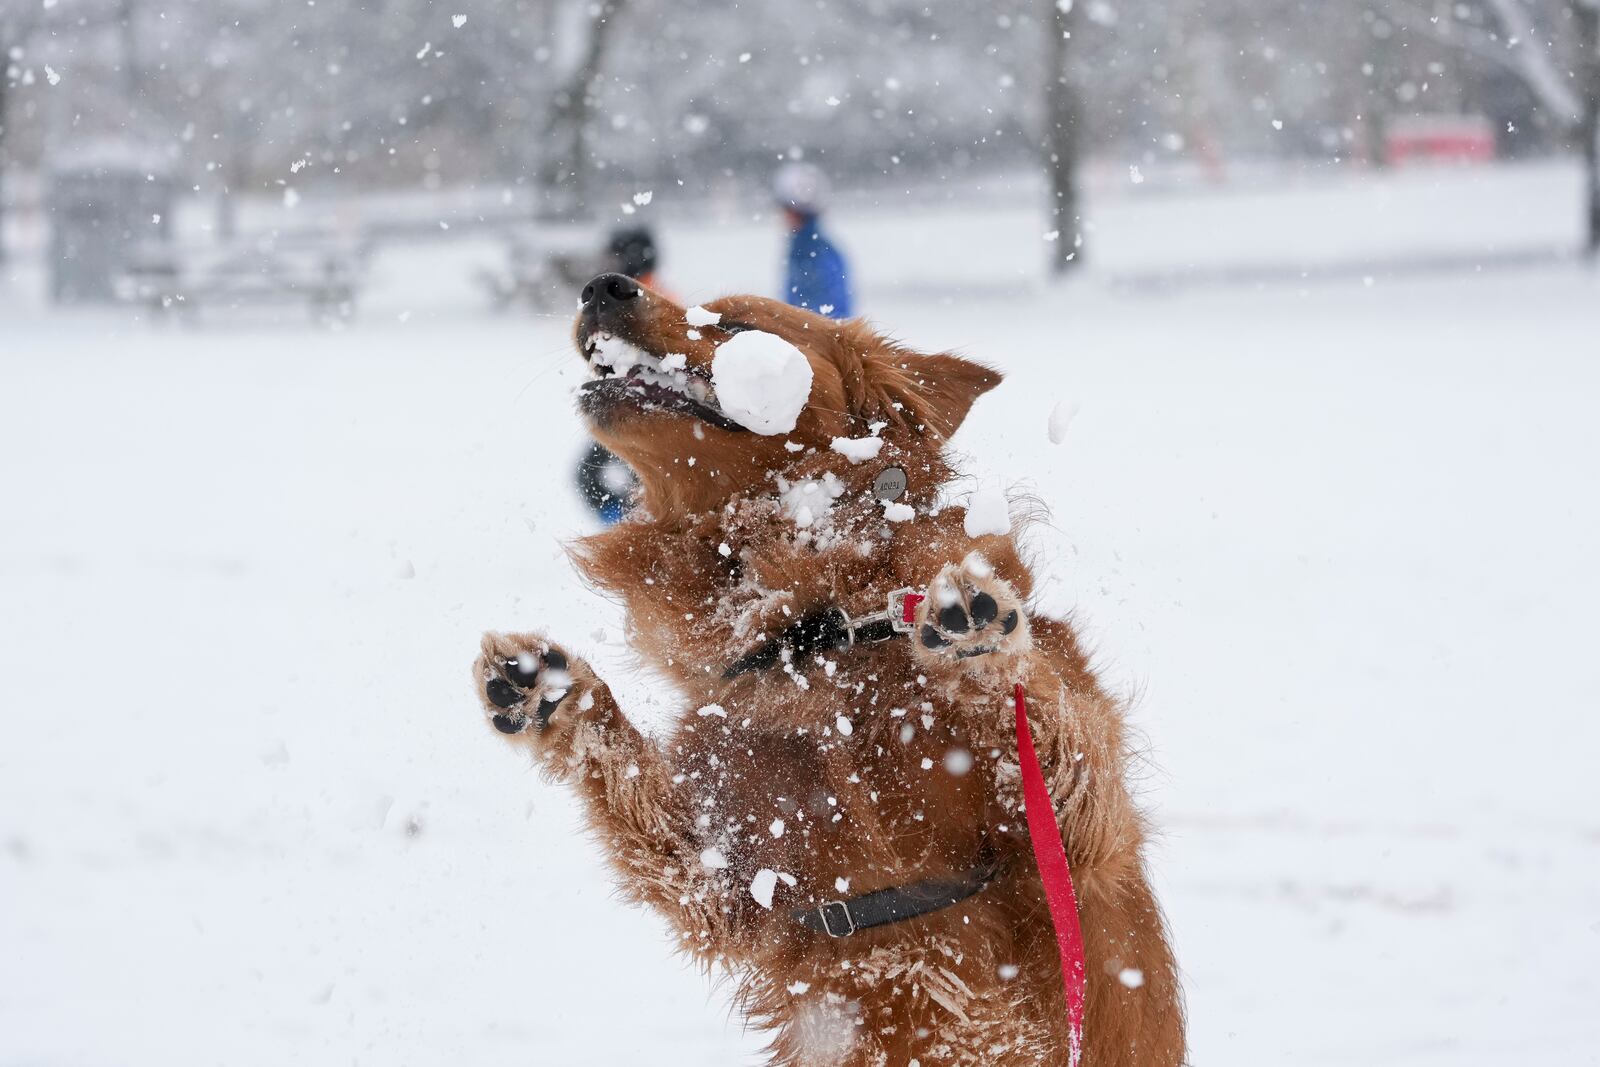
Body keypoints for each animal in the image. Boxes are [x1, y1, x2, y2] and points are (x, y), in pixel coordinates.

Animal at [467, 271, 1184, 1062]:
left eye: (736, 323)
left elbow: (1051, 727)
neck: (816, 634)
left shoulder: (1079, 842)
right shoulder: (733, 886)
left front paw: (977, 639)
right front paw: (554, 694)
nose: (603, 281)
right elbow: (638, 797)